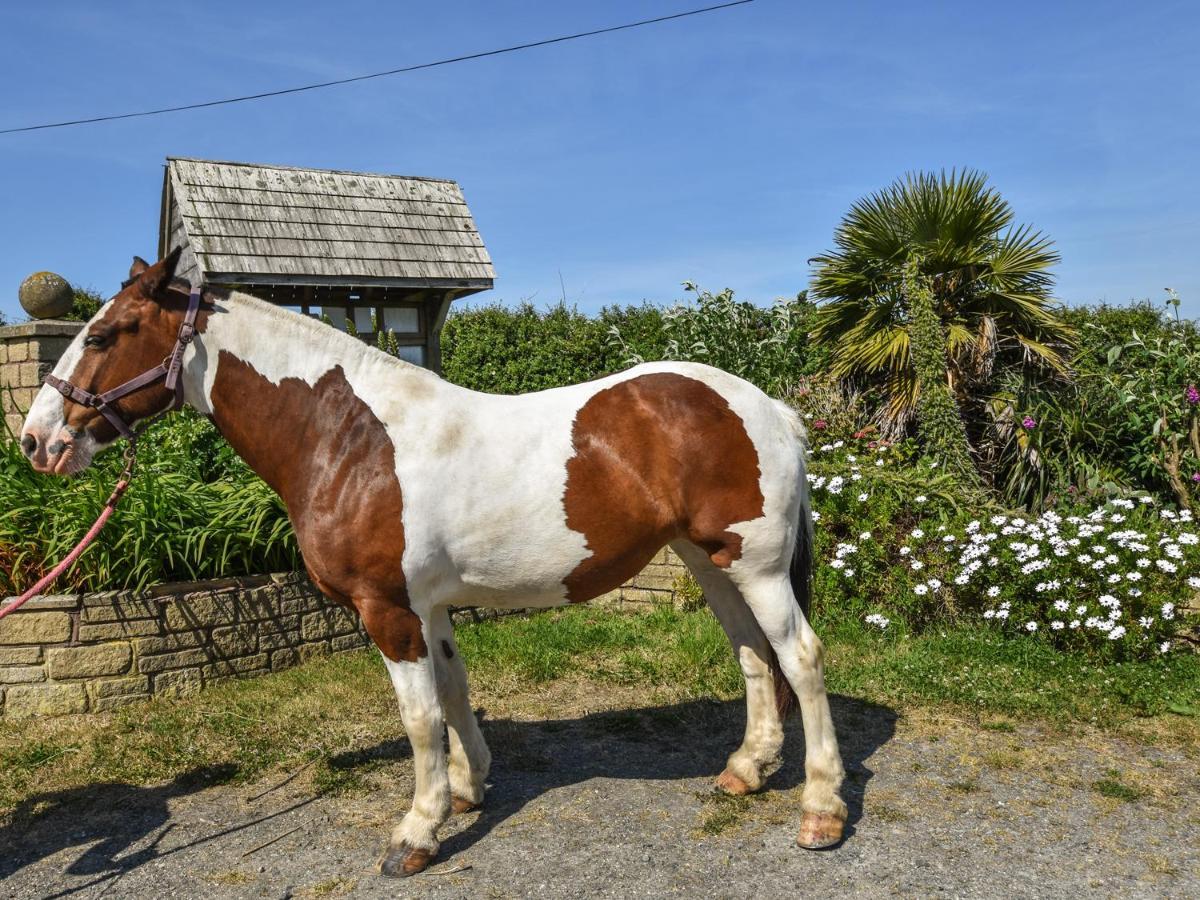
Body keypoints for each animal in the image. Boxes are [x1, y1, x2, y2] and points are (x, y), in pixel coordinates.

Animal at [16, 252, 844, 883]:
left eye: (106, 333)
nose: (36, 441)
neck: (349, 438)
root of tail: (768, 405)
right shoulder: (431, 607)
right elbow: (454, 694)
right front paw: (469, 789)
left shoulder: (385, 610)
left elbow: (418, 719)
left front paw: (416, 832)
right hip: (709, 561)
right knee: (752, 653)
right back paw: (746, 770)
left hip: (755, 565)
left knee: (799, 657)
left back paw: (821, 811)